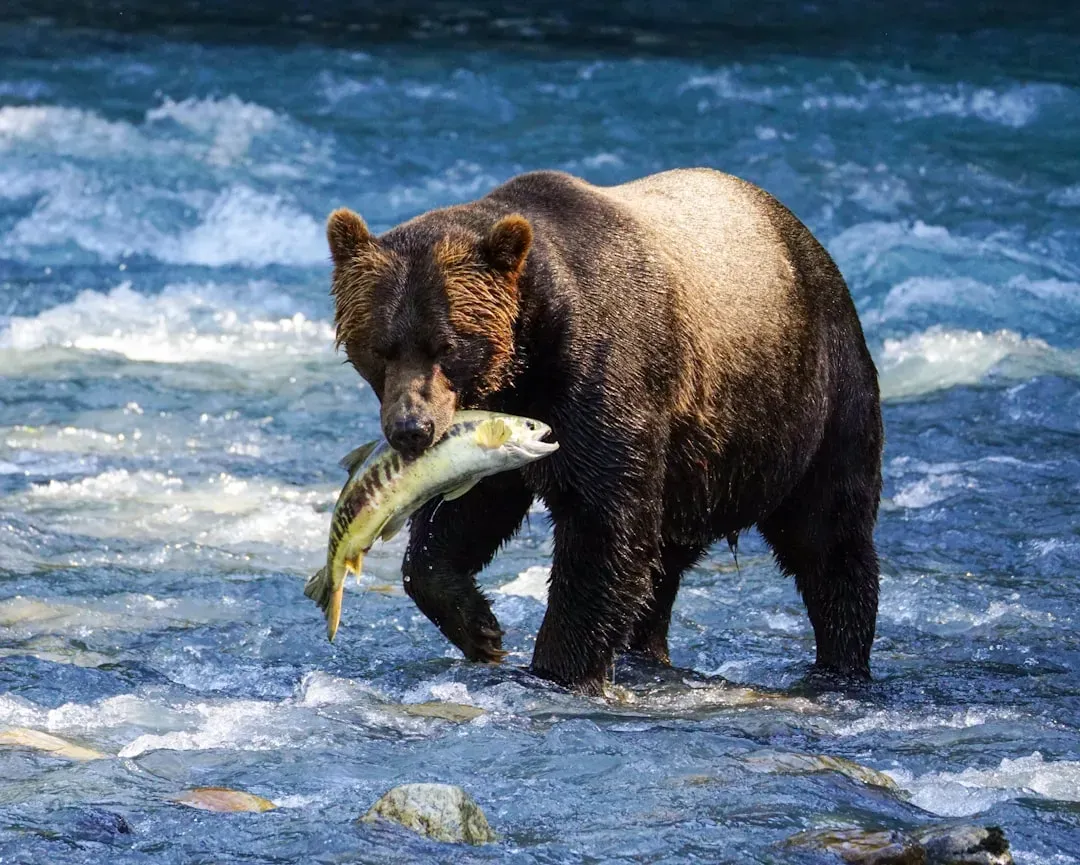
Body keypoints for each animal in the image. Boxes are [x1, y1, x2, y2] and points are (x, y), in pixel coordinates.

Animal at [326, 167, 884, 695]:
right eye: (380, 347)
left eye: (447, 345)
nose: (412, 428)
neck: (528, 356)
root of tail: (809, 240)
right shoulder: (502, 423)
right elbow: (466, 515)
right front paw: (480, 628)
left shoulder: (604, 378)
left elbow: (603, 528)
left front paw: (556, 668)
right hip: (697, 466)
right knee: (664, 563)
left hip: (812, 398)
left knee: (829, 538)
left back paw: (840, 662)